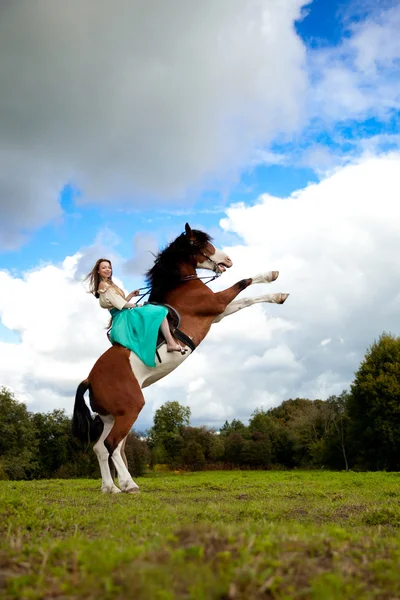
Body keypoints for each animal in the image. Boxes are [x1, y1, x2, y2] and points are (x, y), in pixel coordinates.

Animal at [72, 225, 290, 492]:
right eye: (199, 243)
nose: (228, 260)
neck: (181, 286)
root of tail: (89, 379)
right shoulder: (217, 302)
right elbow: (243, 282)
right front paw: (271, 275)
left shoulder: (219, 312)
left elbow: (246, 299)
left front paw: (279, 295)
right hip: (130, 410)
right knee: (112, 445)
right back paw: (128, 484)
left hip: (112, 417)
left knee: (100, 448)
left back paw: (109, 488)